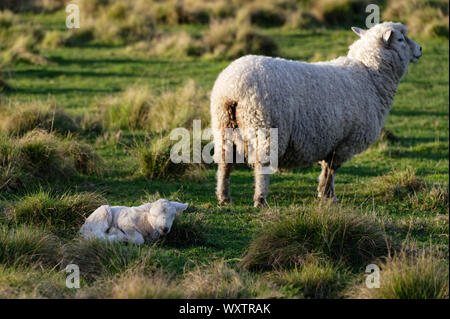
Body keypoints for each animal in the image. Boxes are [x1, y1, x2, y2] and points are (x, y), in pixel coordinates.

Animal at [210, 21, 422, 208]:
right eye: (401, 39)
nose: (420, 49)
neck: (369, 75)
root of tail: (232, 89)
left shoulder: (331, 141)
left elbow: (326, 168)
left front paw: (323, 194)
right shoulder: (344, 142)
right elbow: (331, 170)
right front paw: (329, 197)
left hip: (224, 126)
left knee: (225, 164)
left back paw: (224, 197)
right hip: (264, 127)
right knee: (262, 167)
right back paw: (260, 200)